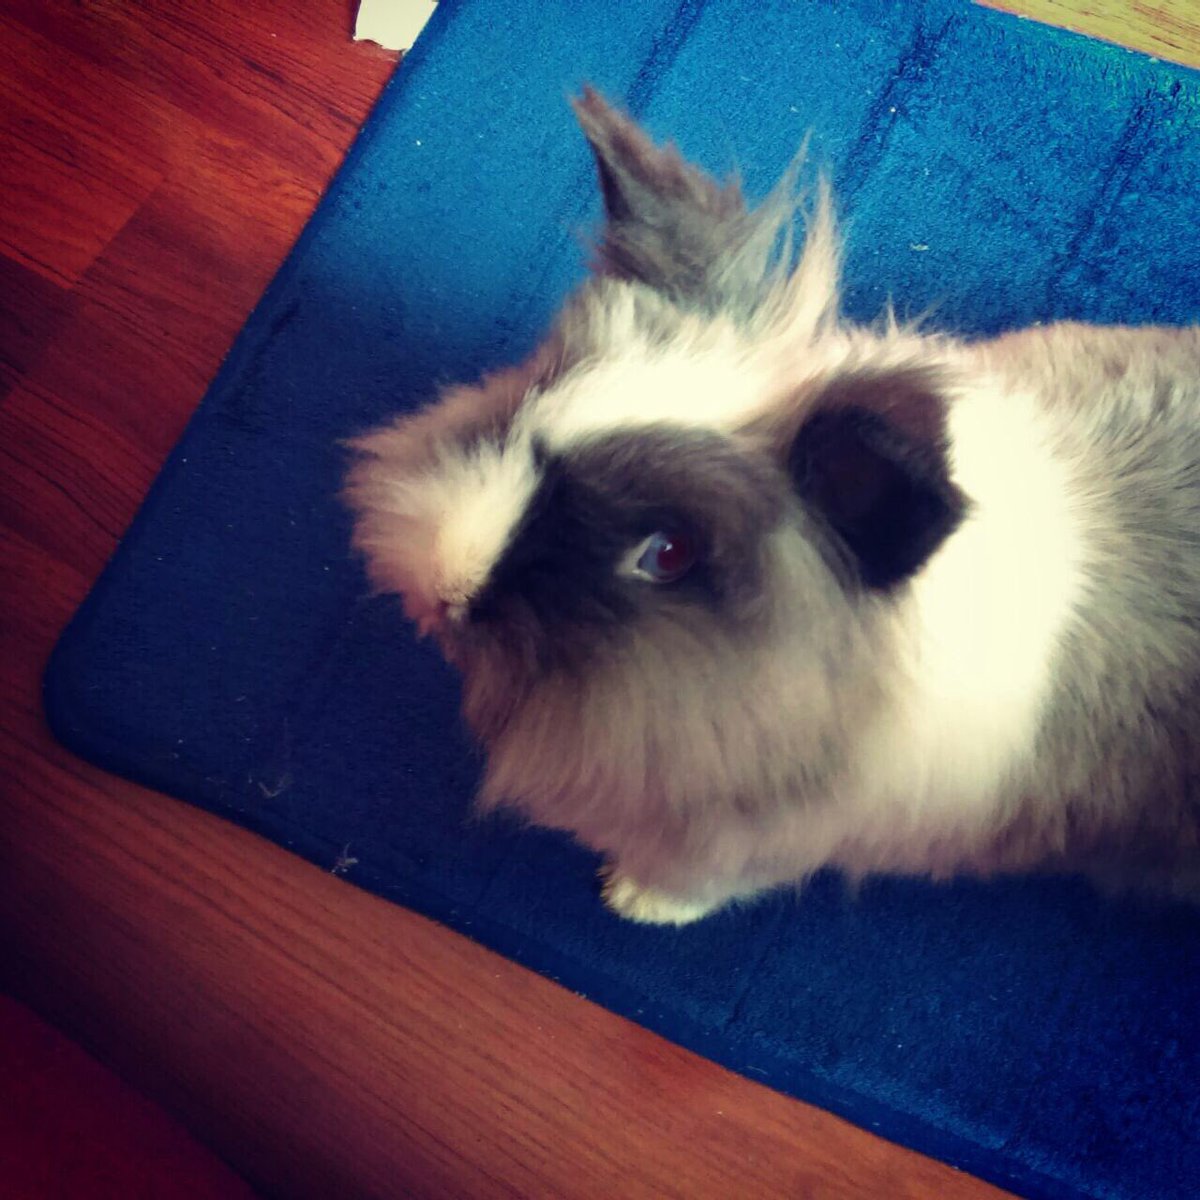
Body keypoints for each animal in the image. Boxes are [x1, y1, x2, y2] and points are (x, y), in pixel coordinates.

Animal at [344, 88, 1200, 925]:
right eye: (534, 397)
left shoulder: (758, 841)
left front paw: (633, 899)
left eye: (667, 555)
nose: (449, 588)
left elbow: (700, 881)